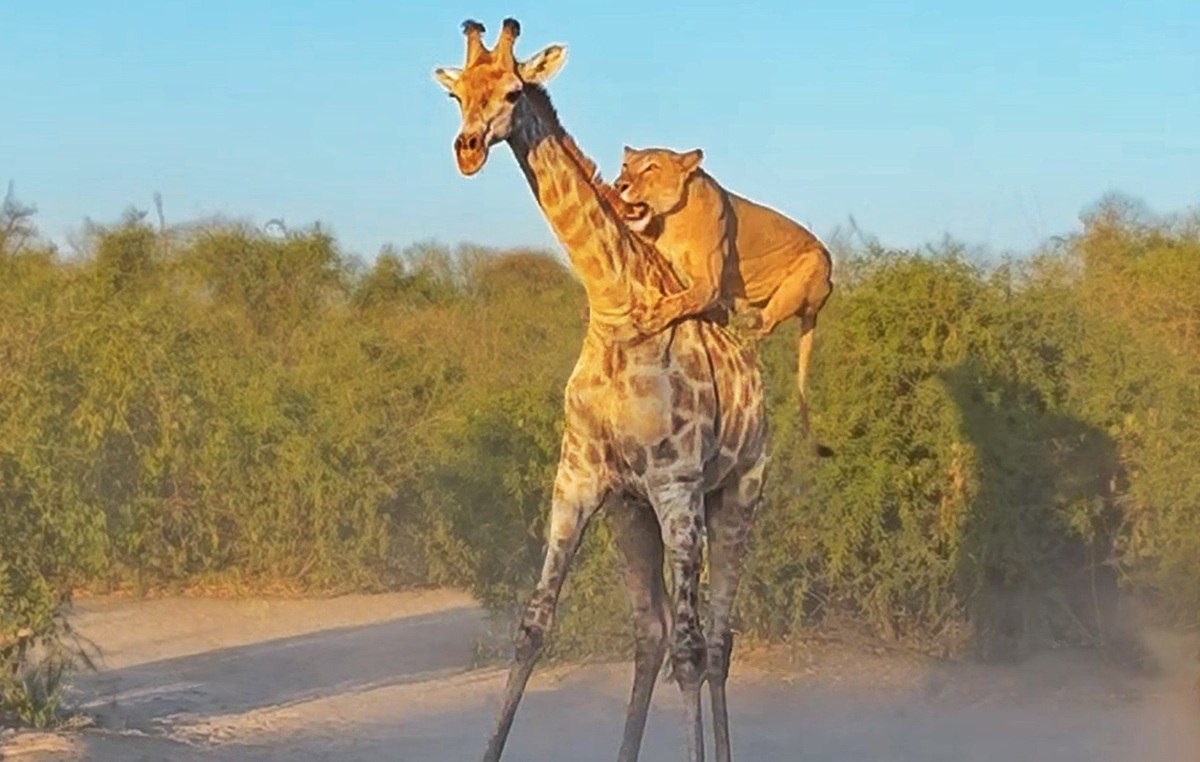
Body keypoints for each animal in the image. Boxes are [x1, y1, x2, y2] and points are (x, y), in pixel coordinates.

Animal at [434, 19, 768, 762]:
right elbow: (533, 627)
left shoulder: (677, 484)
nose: (467, 151)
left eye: (512, 91)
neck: (617, 308)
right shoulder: (580, 478)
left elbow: (689, 652)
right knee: (651, 636)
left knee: (715, 643)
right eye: (456, 95)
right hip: (632, 514)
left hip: (735, 497)